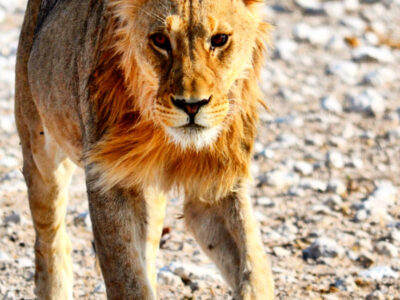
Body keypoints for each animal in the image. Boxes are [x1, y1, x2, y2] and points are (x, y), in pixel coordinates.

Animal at [14, 0, 276, 298]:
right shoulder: (109, 182)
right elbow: (127, 280)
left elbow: (255, 268)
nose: (192, 105)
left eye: (219, 39)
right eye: (160, 40)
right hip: (39, 147)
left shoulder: (217, 185)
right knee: (50, 235)